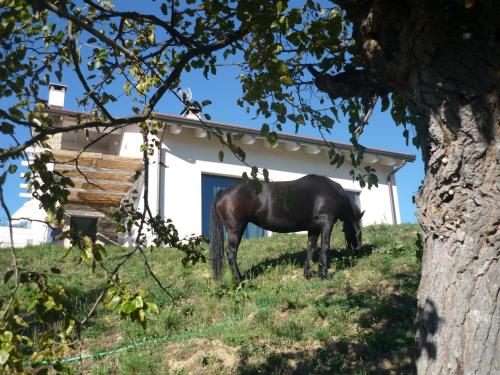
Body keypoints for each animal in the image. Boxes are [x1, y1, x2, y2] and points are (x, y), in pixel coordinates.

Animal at [209, 175, 366, 284]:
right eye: (358, 230)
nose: (358, 250)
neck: (331, 191)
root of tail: (223, 192)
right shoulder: (326, 222)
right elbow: (325, 247)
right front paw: (324, 274)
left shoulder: (314, 228)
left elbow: (311, 248)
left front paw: (308, 274)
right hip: (236, 229)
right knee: (231, 252)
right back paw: (239, 279)